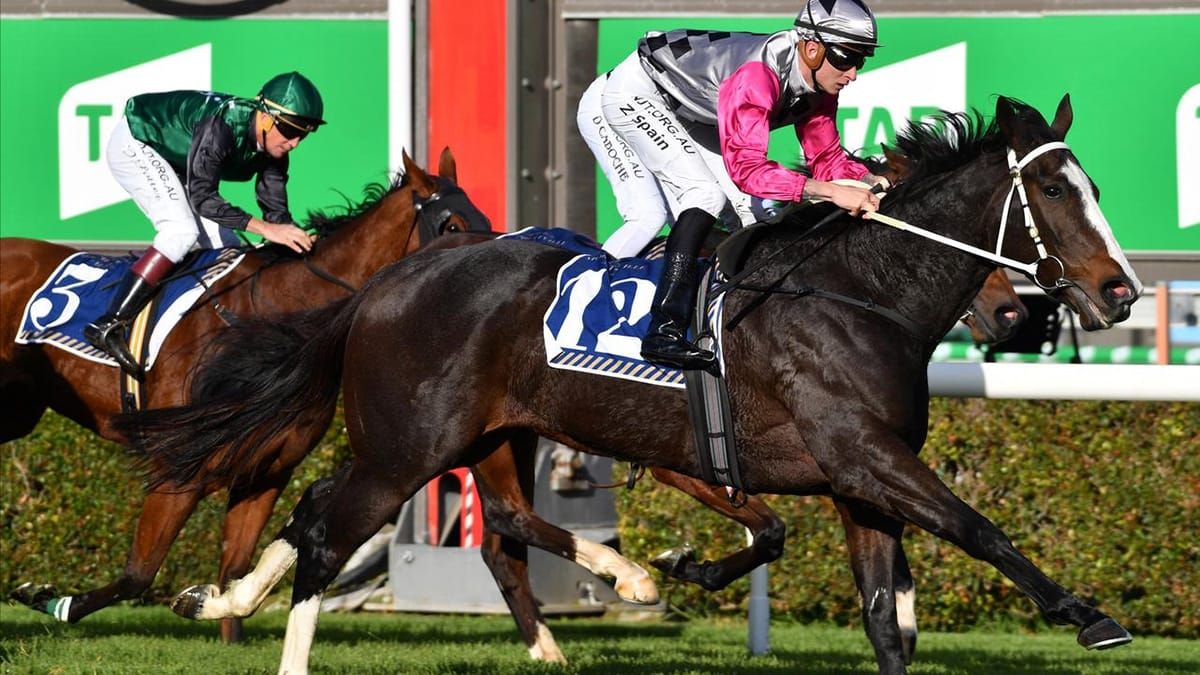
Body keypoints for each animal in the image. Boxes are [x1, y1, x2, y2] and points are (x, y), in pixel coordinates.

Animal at [0, 149, 492, 642]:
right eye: (451, 225)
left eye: (484, 220)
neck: (273, 322)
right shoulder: (179, 470)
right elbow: (139, 574)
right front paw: (48, 599)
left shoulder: (266, 473)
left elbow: (234, 570)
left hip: (21, 411)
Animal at [119, 95, 1141, 673]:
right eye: (1056, 192)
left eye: (1094, 185)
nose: (1119, 292)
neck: (860, 291)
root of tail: (384, 284)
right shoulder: (864, 455)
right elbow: (980, 526)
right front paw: (1089, 615)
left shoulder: (858, 485)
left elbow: (886, 623)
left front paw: (682, 566)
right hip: (409, 444)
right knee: (330, 532)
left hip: (462, 436)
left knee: (350, 513)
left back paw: (223, 597)